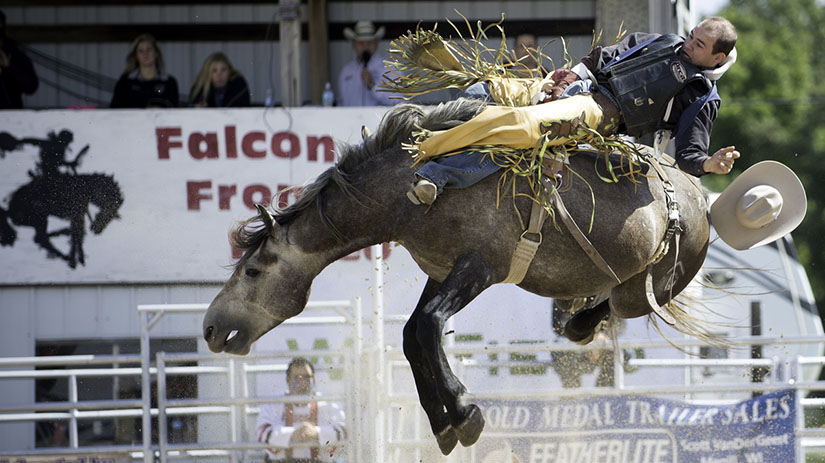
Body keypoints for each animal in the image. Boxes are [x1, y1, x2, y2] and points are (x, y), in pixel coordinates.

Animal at [200, 99, 708, 456]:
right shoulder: (440, 270)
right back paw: (580, 321)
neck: (414, 189)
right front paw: (444, 425)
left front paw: (465, 413)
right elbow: (412, 336)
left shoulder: (478, 266)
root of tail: (695, 191)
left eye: (253, 270)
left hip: (650, 287)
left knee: (619, 304)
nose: (209, 327)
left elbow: (427, 327)